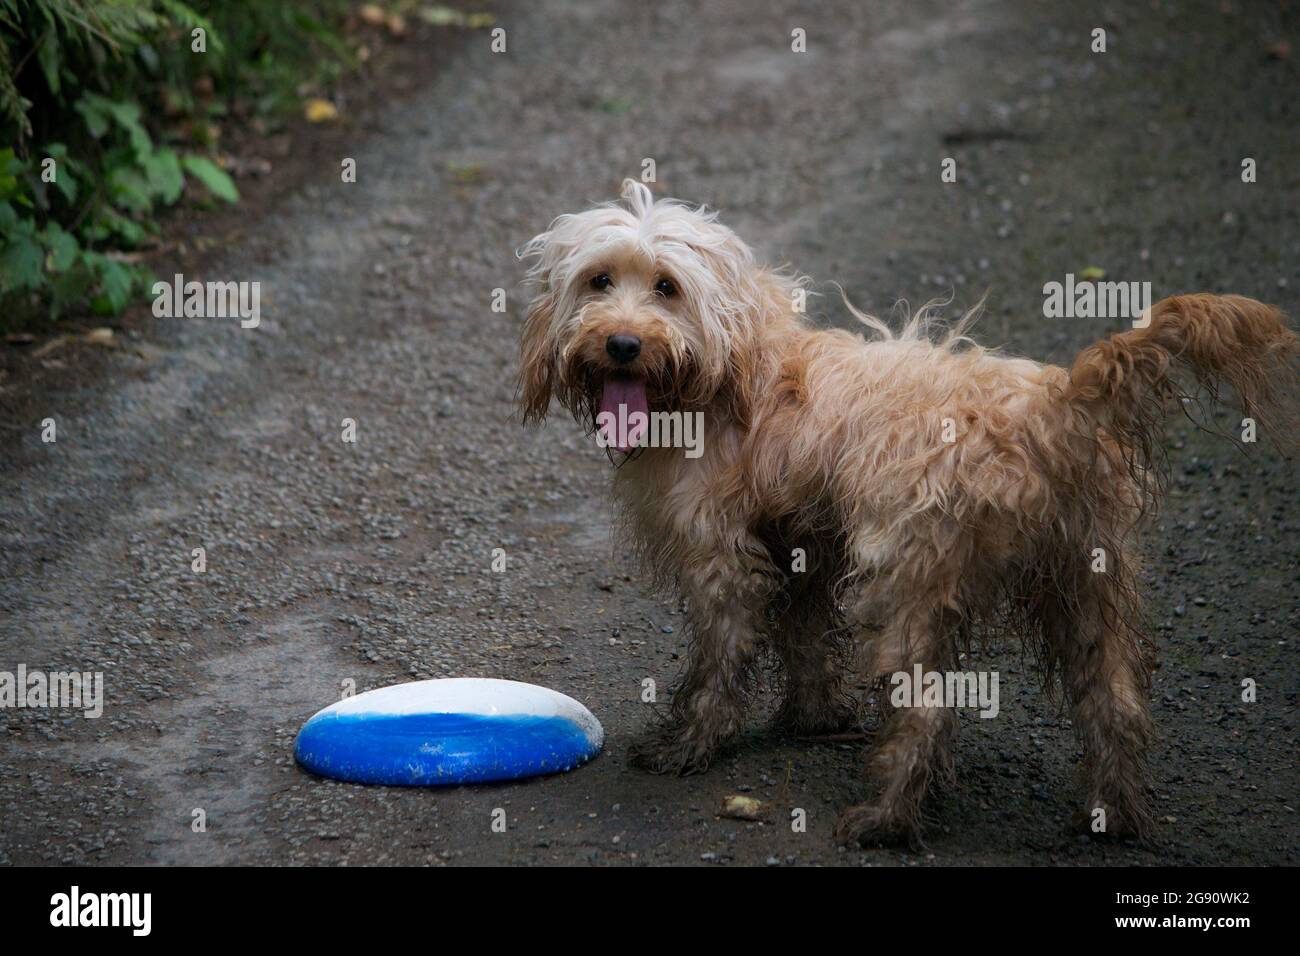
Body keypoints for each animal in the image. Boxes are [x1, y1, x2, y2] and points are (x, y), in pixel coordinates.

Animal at [514, 178, 1289, 842]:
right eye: (599, 280)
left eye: (667, 288)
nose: (621, 343)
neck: (729, 370)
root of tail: (1057, 404)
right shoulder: (803, 546)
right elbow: (803, 635)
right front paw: (813, 716)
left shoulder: (721, 560)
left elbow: (720, 660)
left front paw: (694, 744)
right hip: (1086, 582)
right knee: (1115, 699)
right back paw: (1113, 813)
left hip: (909, 583)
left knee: (926, 710)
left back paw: (883, 818)